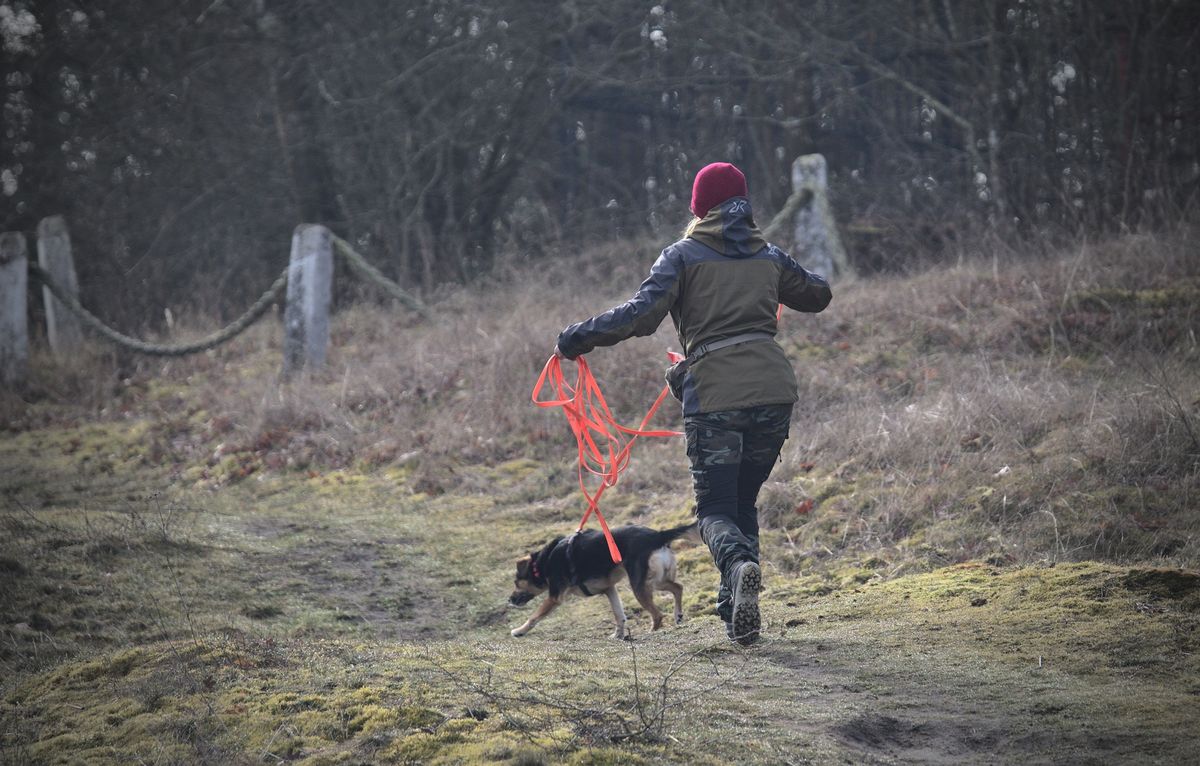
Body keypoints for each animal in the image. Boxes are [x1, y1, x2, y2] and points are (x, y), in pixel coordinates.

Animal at [506, 523, 696, 643]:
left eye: (516, 582)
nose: (510, 600)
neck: (542, 563)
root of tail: (657, 535)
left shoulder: (554, 597)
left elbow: (534, 617)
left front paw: (519, 631)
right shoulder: (609, 589)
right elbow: (619, 615)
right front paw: (618, 635)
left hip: (640, 585)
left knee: (657, 614)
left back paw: (652, 632)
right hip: (656, 580)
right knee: (678, 587)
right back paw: (678, 615)